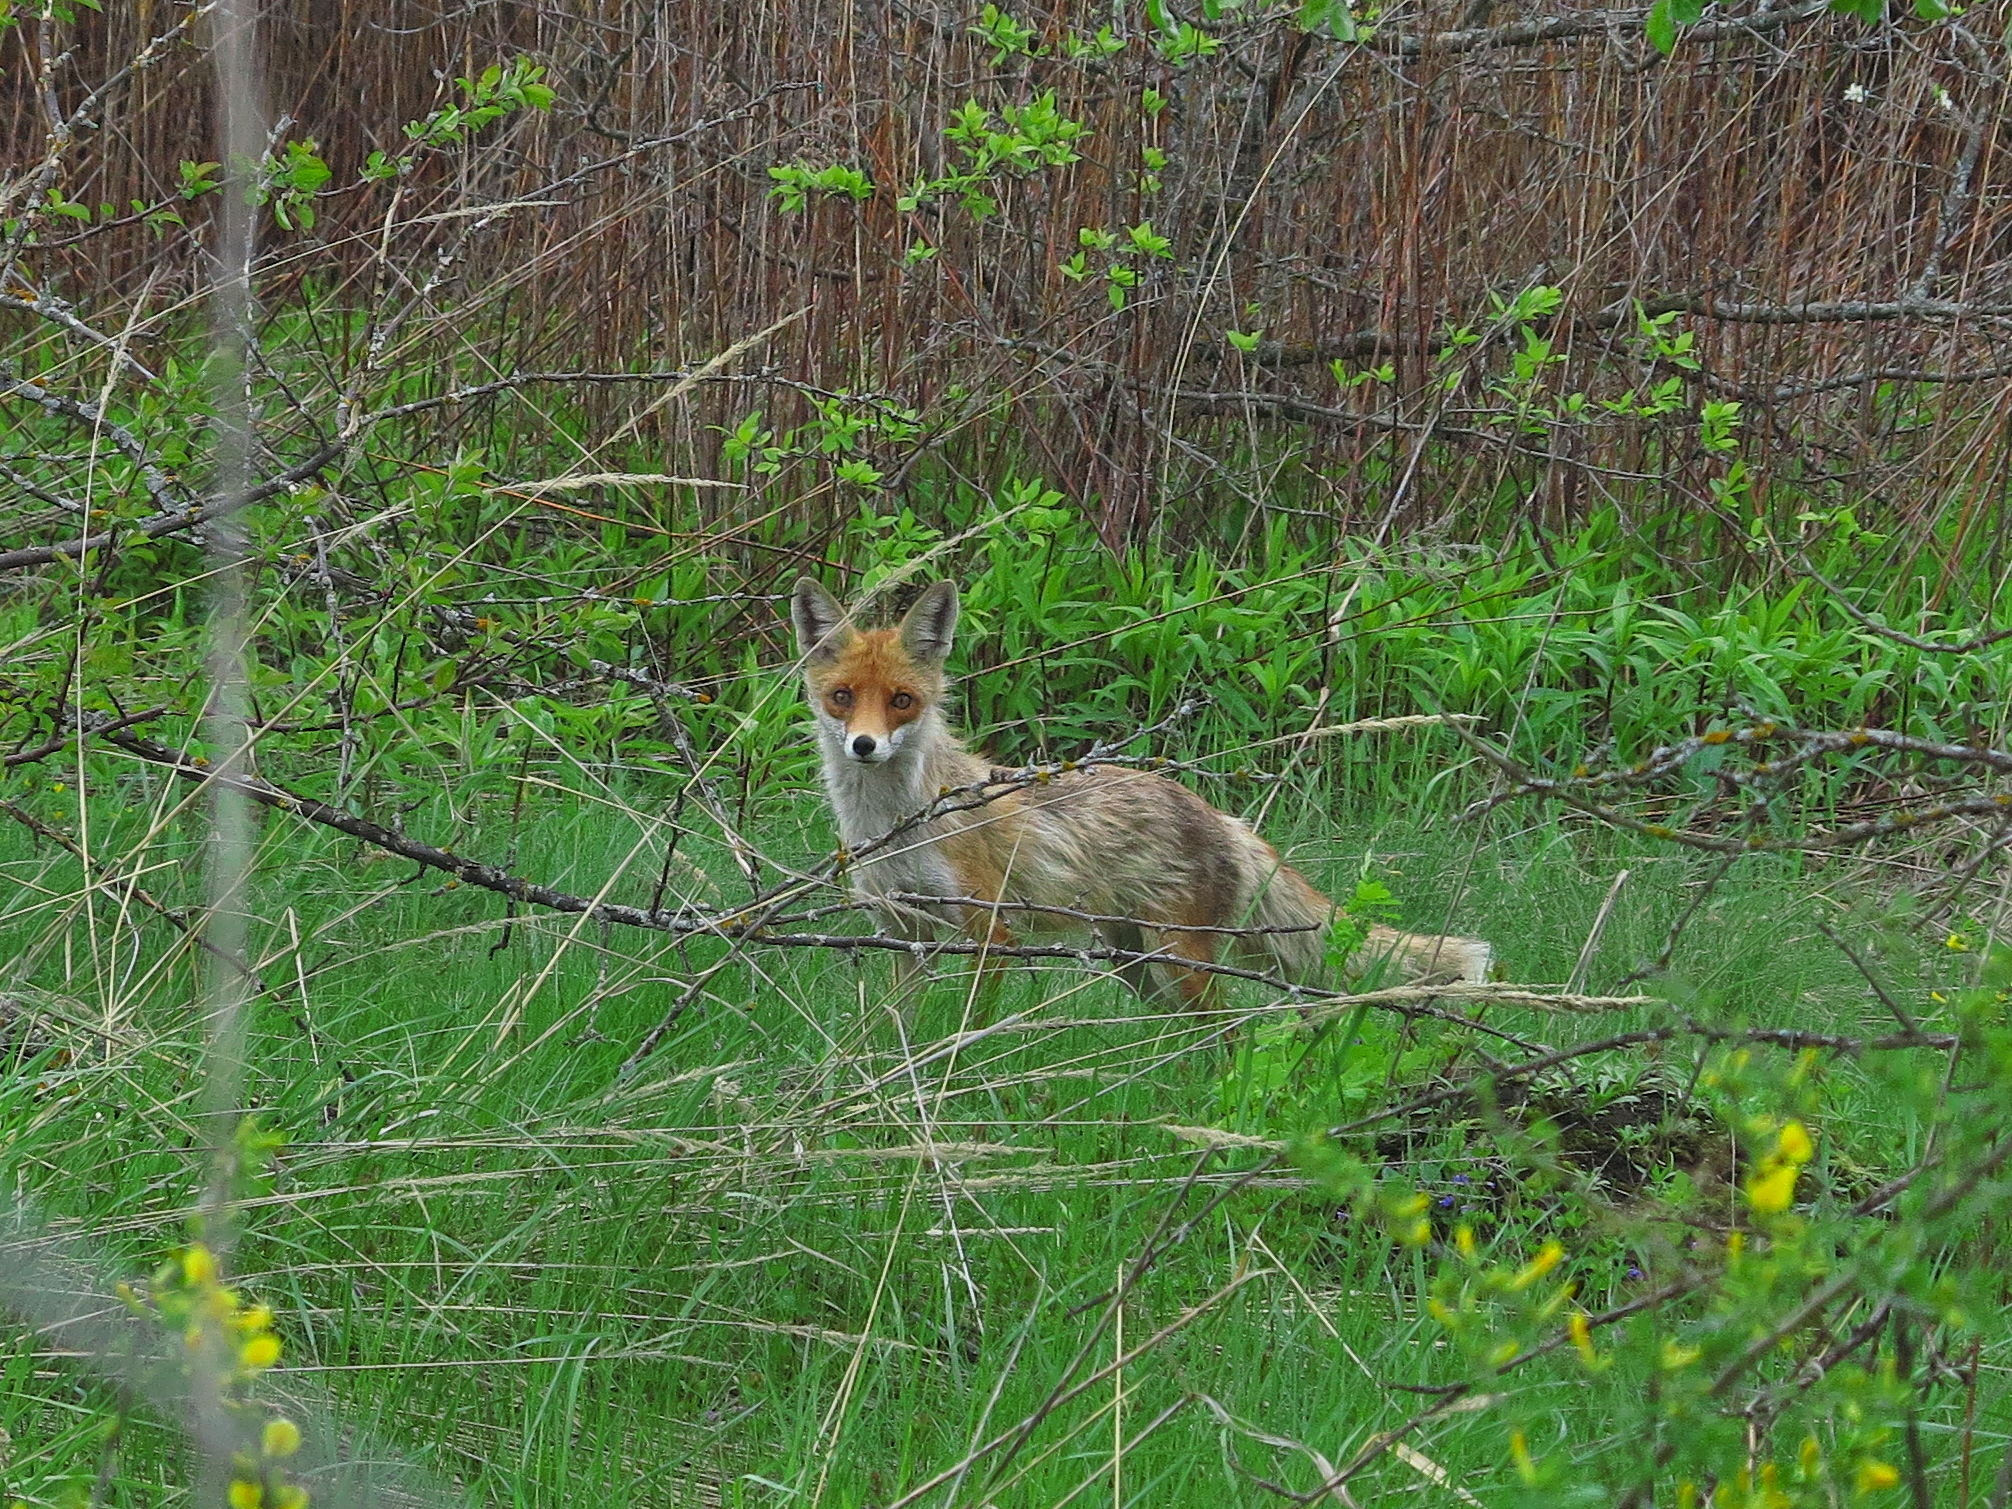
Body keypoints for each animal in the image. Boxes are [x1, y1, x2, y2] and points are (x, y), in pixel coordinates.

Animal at [790, 577, 1492, 1007]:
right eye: (843, 697)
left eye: (901, 701)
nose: (864, 746)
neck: (896, 824)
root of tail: (1220, 815)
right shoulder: (899, 934)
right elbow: (888, 1031)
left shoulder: (991, 933)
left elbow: (966, 1028)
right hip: (1133, 961)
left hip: (1181, 959)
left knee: (1226, 1035)